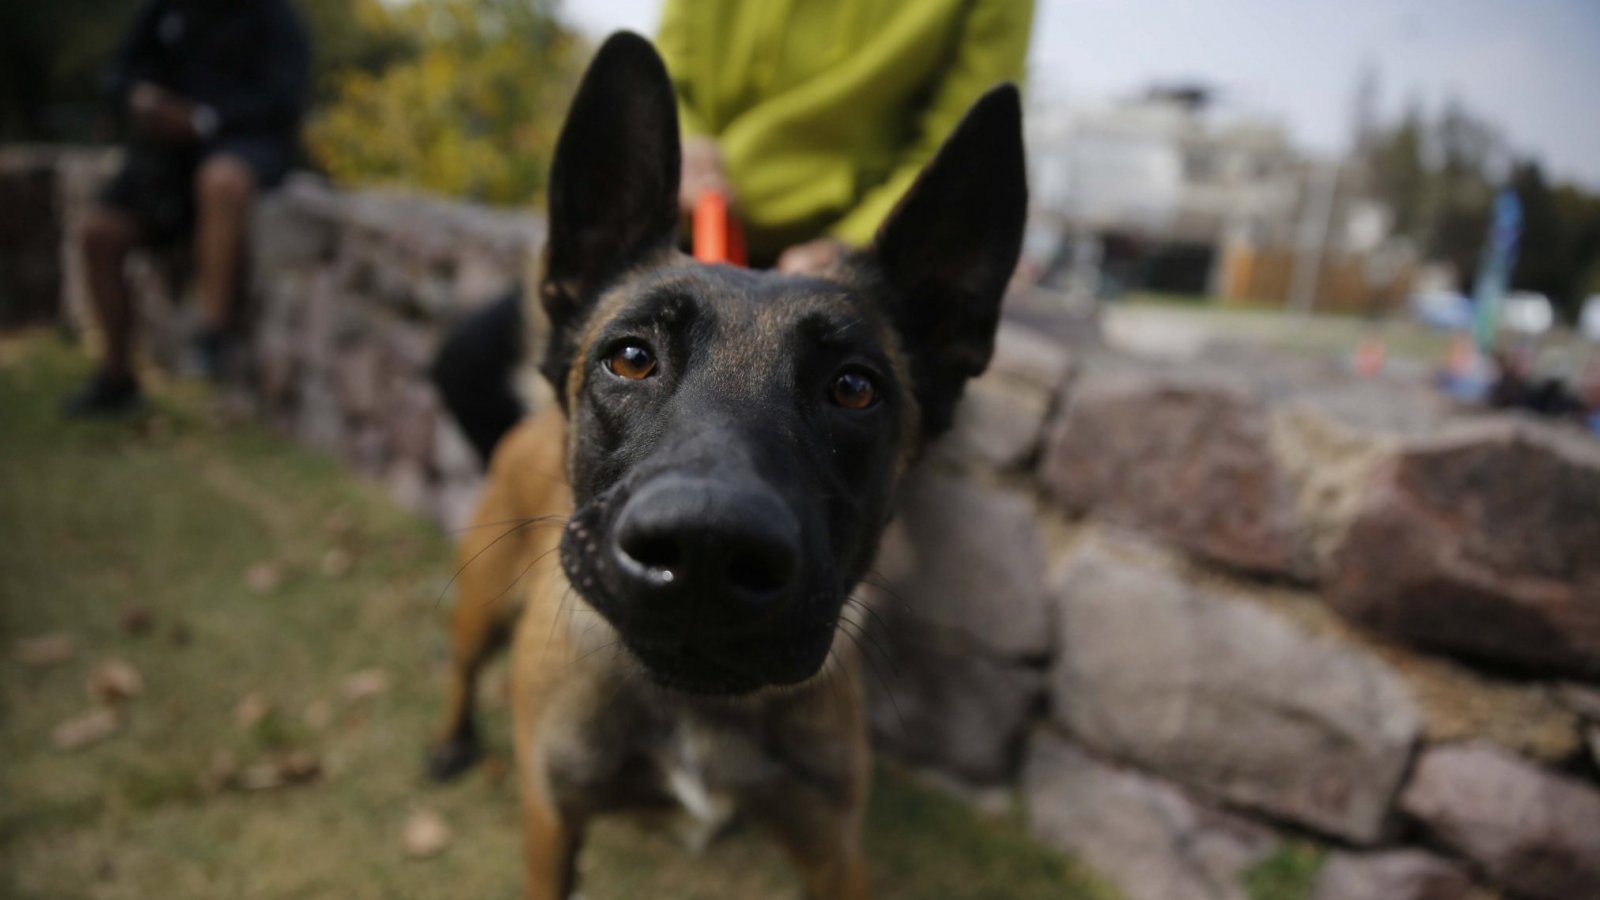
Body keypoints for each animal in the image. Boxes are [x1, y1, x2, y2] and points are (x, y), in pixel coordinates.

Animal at [425, 33, 1024, 896]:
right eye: (631, 357)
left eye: (854, 388)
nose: (705, 548)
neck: (695, 705)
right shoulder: (552, 826)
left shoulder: (833, 853)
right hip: (481, 600)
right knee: (463, 662)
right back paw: (450, 738)